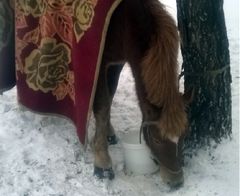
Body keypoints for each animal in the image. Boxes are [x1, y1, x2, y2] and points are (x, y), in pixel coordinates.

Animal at [91, 0, 188, 188]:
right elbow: (102, 104)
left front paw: (108, 133)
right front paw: (102, 162)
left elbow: (110, 96)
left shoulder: (116, 62)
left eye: (181, 137)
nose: (176, 181)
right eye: (157, 140)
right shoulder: (99, 64)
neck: (125, 20)